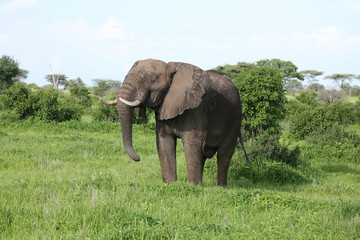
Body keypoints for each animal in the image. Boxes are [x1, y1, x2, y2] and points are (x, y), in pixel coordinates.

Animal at [105, 59, 249, 187]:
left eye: (152, 81)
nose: (138, 158)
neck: (170, 66)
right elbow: (164, 142)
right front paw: (170, 185)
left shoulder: (196, 108)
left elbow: (192, 144)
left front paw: (193, 187)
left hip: (235, 118)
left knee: (224, 153)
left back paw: (220, 187)